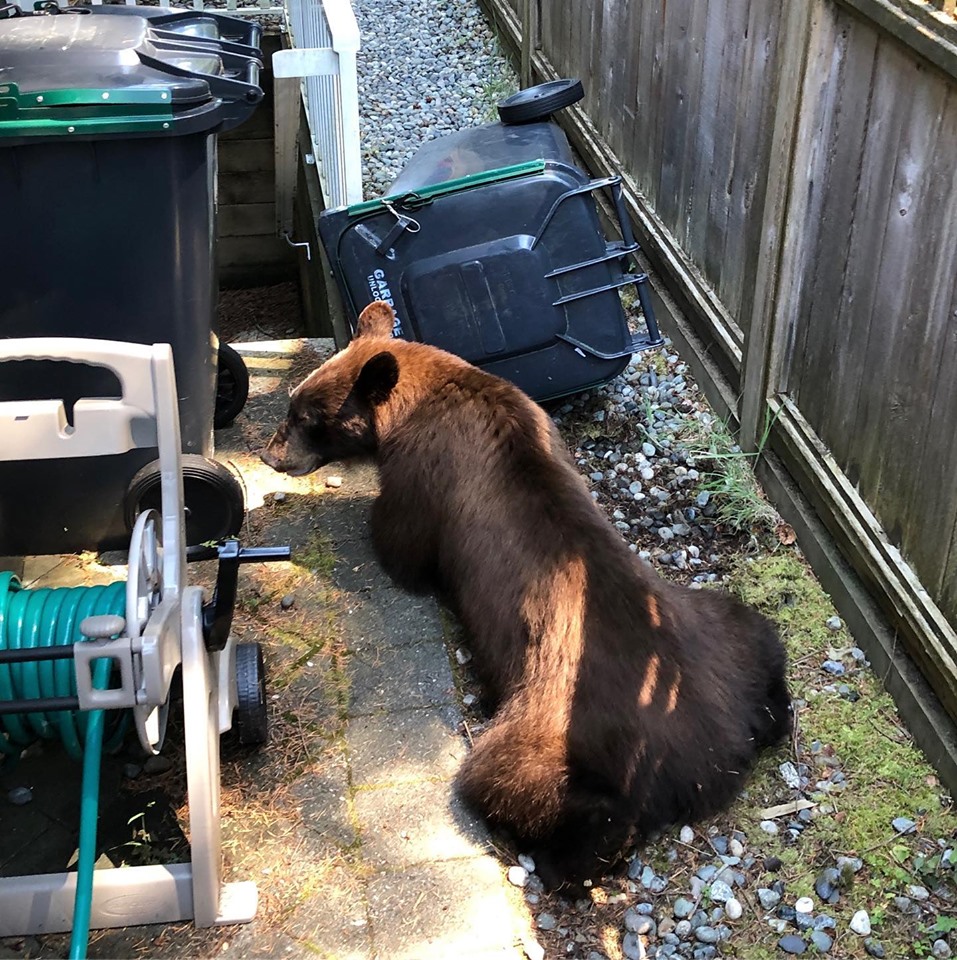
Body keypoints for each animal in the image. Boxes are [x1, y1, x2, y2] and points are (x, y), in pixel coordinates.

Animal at [261, 300, 791, 890]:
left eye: (308, 418)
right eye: (294, 406)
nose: (269, 455)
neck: (425, 397)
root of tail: (716, 755)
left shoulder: (421, 477)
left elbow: (402, 546)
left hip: (549, 721)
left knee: (512, 780)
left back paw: (577, 856)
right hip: (717, 620)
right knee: (761, 638)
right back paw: (776, 709)